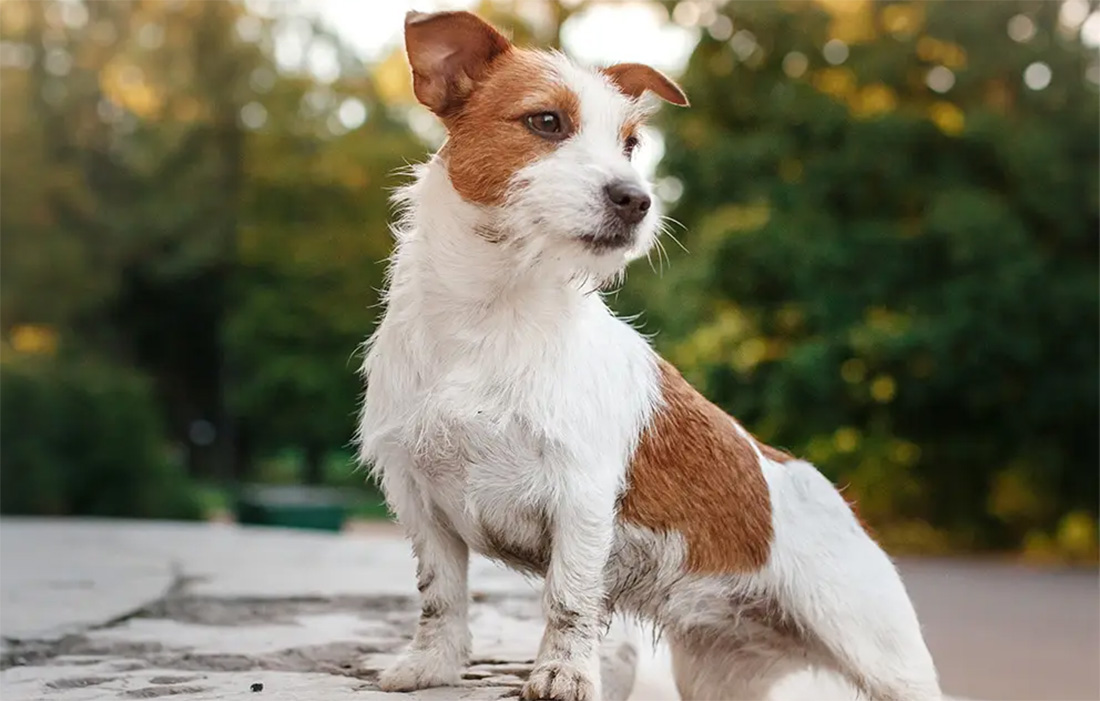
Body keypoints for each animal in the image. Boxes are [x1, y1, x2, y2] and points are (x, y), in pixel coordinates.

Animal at [356, 10, 941, 699]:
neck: (494, 314)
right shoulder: (420, 502)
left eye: (631, 144)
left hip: (884, 656)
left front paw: (563, 674)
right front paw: (431, 667)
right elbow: (439, 596)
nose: (637, 199)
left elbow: (569, 600)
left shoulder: (581, 498)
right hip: (719, 675)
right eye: (546, 121)